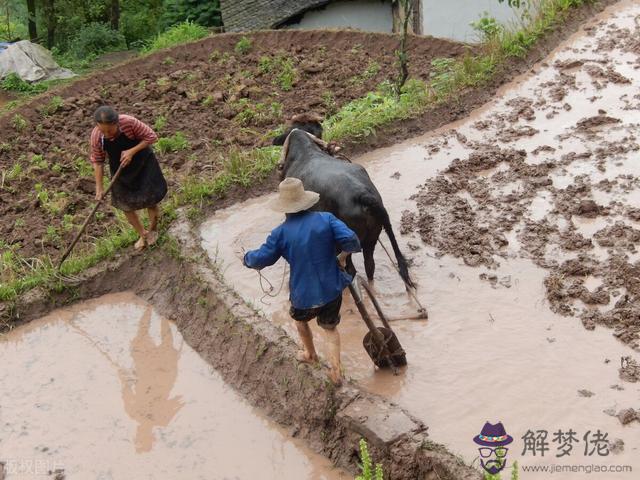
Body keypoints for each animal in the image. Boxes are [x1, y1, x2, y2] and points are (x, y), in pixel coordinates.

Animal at [274, 124, 416, 288]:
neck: (303, 152)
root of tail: (362, 194)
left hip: (346, 243)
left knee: (350, 269)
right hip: (372, 237)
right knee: (369, 266)